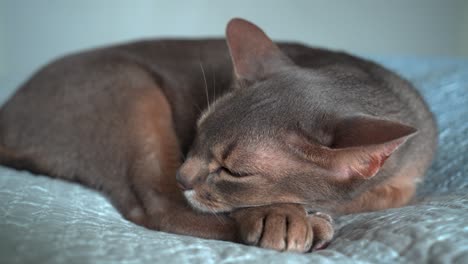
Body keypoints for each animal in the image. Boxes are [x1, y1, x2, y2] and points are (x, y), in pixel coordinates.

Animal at [0, 17, 436, 253]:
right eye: (197, 131)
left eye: (235, 171)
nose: (183, 175)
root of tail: (9, 111)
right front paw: (280, 213)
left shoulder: (402, 186)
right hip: (131, 87)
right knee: (158, 206)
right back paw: (284, 221)